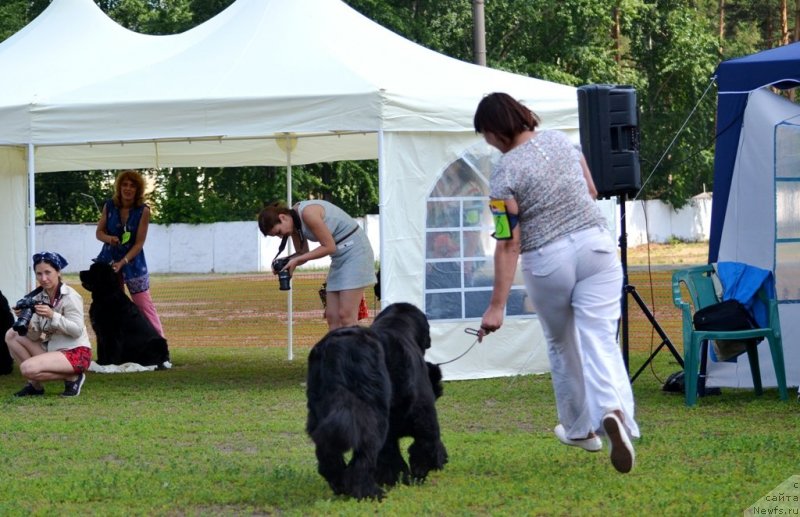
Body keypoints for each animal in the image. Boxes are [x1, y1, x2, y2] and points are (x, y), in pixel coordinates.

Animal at [304, 300, 446, 498]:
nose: (440, 389)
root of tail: (335, 350)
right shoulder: (424, 412)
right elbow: (427, 442)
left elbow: (390, 455)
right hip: (373, 417)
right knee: (363, 458)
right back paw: (370, 492)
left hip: (320, 413)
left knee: (328, 455)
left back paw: (340, 484)